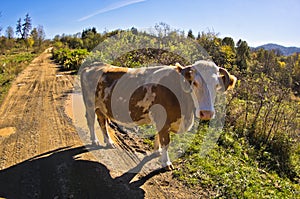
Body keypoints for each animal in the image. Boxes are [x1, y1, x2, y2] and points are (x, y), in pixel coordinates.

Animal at [80, 60, 237, 169]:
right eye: (194, 82)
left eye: (216, 85)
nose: (207, 113)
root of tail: (93, 65)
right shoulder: (164, 120)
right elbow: (166, 141)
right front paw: (166, 162)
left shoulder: (161, 120)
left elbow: (158, 135)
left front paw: (157, 151)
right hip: (89, 103)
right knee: (91, 120)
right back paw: (95, 140)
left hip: (102, 107)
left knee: (102, 122)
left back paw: (109, 142)